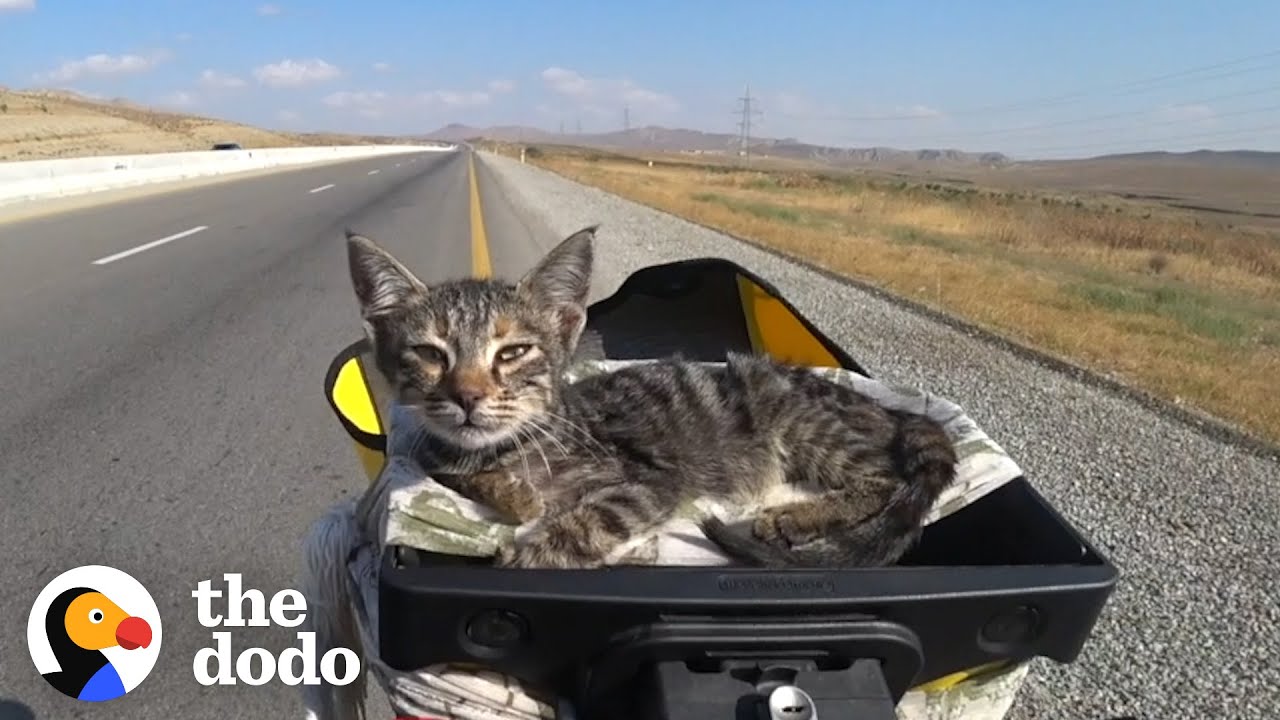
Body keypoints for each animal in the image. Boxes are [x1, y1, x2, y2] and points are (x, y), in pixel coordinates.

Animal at [345, 224, 957, 566]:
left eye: (513, 352)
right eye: (431, 354)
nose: (469, 396)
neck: (511, 445)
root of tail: (888, 407)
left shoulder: (651, 481)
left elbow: (585, 524)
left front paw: (524, 555)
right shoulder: (432, 449)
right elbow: (441, 461)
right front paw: (515, 494)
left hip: (805, 423)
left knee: (885, 480)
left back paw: (796, 518)